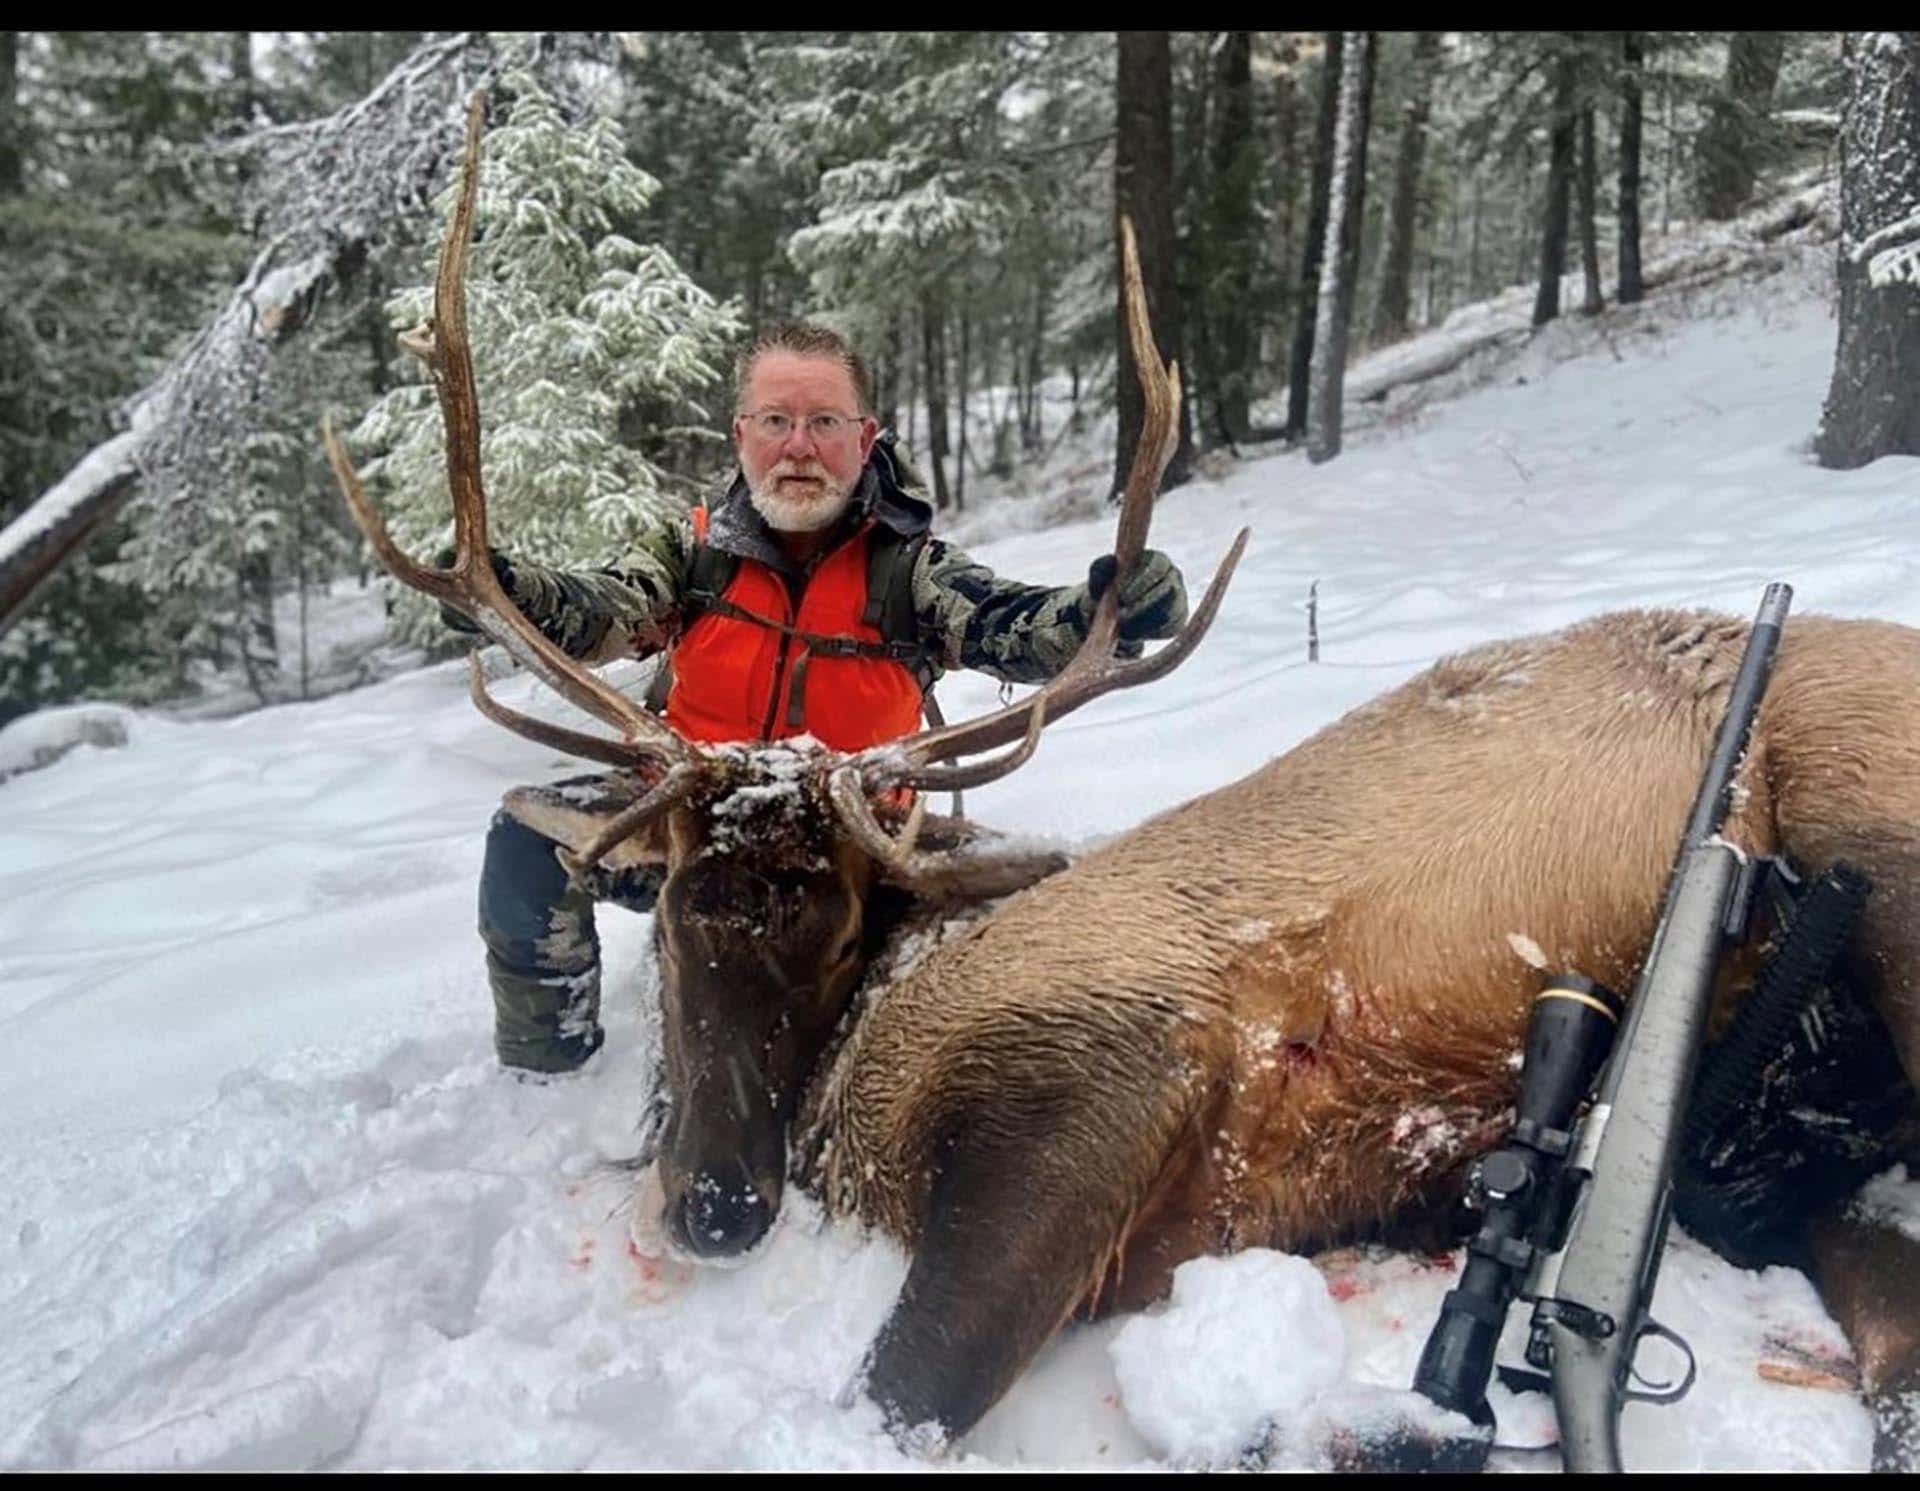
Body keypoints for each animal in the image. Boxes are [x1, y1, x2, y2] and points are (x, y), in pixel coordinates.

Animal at [327, 94, 1920, 1468]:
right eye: (663, 908)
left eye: (833, 916)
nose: (715, 1205)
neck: (853, 1074)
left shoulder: (1104, 1058)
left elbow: (901, 1393)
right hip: (1776, 1124)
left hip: (1877, 842)